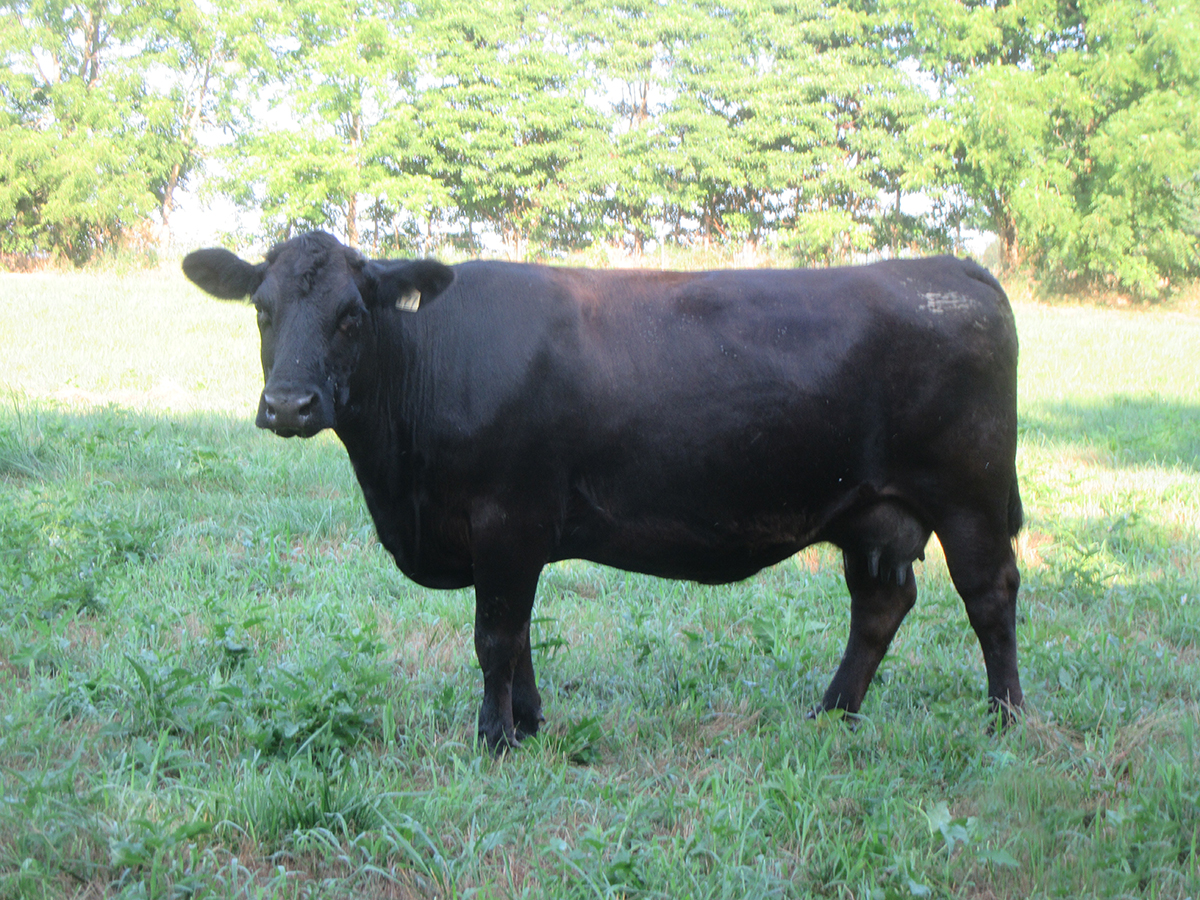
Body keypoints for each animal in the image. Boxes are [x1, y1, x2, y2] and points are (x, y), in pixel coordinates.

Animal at [182, 231, 1024, 750]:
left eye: (352, 316)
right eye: (261, 310)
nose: (289, 406)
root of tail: (949, 267)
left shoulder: (507, 517)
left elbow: (494, 635)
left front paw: (493, 738)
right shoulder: (505, 541)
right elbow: (519, 633)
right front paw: (528, 723)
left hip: (971, 497)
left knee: (990, 597)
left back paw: (1006, 721)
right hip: (871, 512)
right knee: (880, 605)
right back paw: (829, 714)